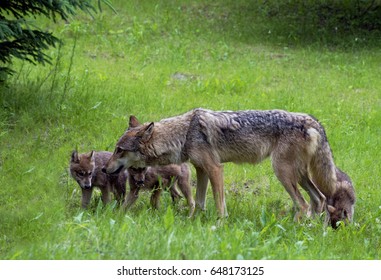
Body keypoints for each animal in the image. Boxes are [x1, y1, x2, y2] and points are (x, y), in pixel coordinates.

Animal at [103, 108, 342, 224]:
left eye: (119, 150)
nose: (104, 169)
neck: (184, 134)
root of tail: (312, 120)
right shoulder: (201, 170)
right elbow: (199, 202)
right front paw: (191, 222)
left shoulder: (216, 169)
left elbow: (219, 204)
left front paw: (219, 225)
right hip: (299, 175)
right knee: (319, 199)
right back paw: (313, 230)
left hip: (283, 174)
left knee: (303, 204)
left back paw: (293, 228)